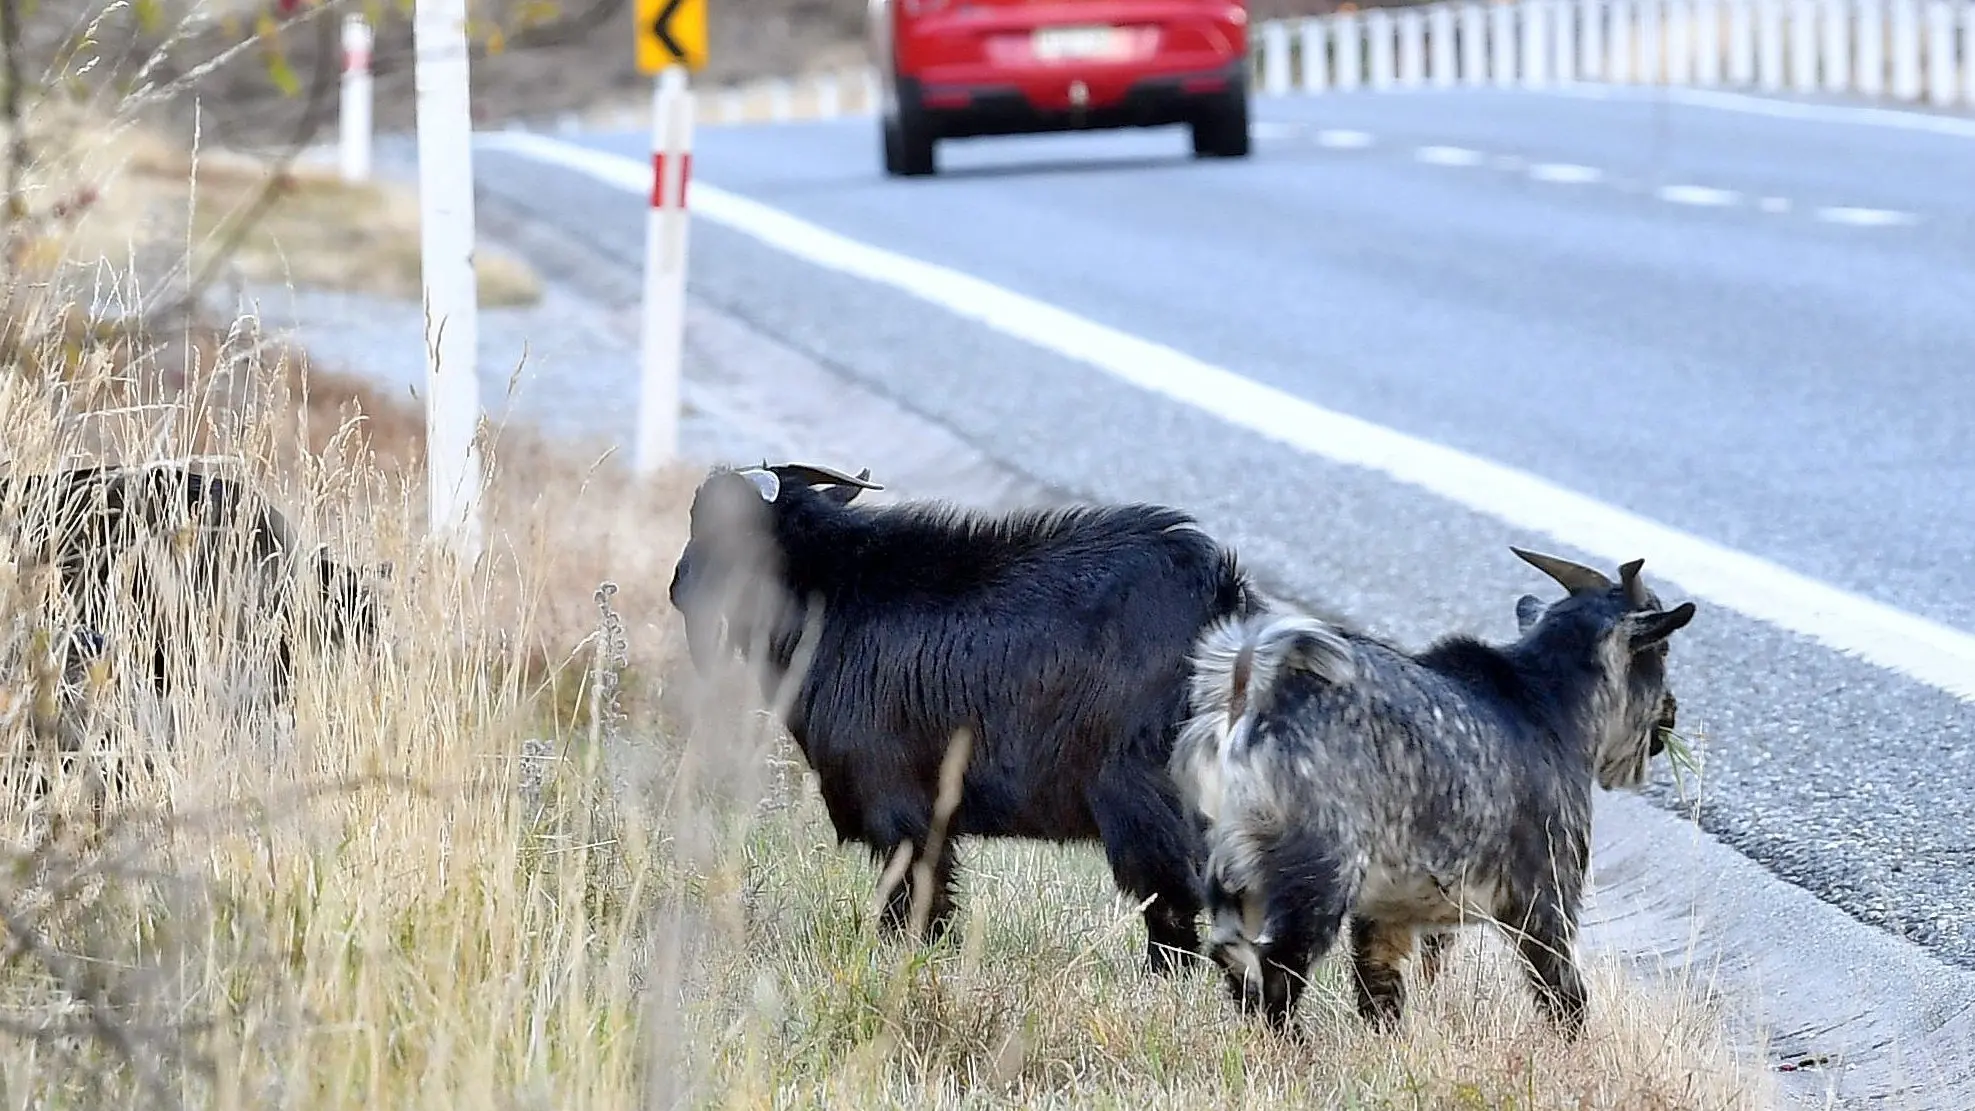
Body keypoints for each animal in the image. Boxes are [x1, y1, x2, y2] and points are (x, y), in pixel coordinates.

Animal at [667, 461, 1262, 972]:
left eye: (712, 524)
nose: (676, 588)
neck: (829, 594)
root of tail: (1223, 600)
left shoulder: (900, 806)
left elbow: (915, 896)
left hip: (1144, 801)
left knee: (1175, 900)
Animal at [1171, 548, 1695, 1037]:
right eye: (1664, 650)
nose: (1670, 714)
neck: (1547, 706)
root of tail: (1249, 692)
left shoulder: (1387, 915)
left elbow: (1381, 990)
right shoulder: (1547, 896)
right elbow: (1564, 997)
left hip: (1230, 861)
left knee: (1231, 952)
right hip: (1318, 873)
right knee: (1277, 966)